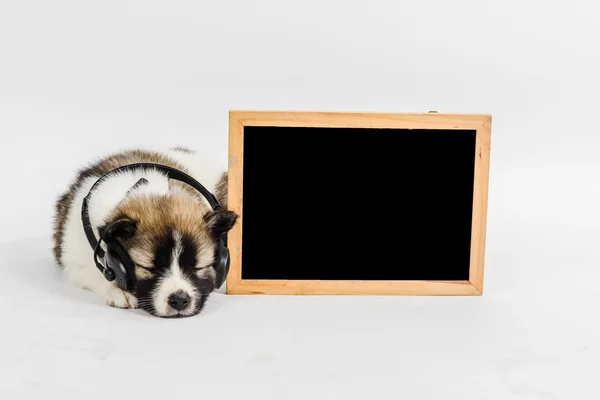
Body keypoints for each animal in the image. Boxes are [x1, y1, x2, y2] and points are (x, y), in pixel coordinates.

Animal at [51, 148, 238, 318]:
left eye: (197, 267)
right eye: (149, 268)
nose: (179, 300)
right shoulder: (73, 259)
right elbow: (94, 271)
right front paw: (119, 291)